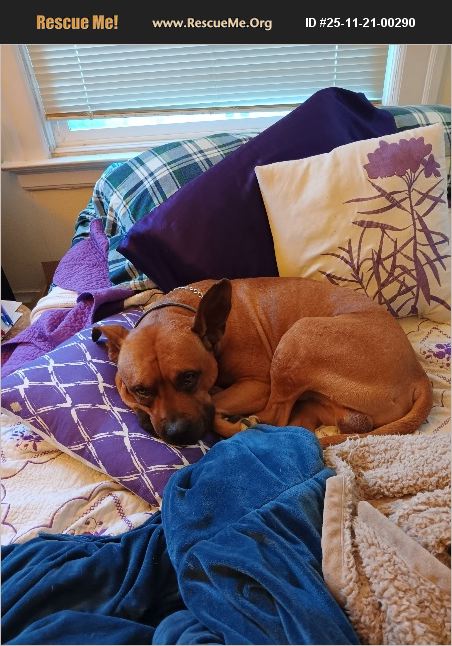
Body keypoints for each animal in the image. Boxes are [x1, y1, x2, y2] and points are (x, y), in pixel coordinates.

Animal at [92, 277, 432, 447]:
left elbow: (214, 406)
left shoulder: (257, 385)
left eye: (189, 377)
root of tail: (418, 374)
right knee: (300, 424)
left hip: (298, 339)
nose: (178, 434)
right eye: (140, 390)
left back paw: (242, 425)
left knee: (274, 418)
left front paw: (226, 412)